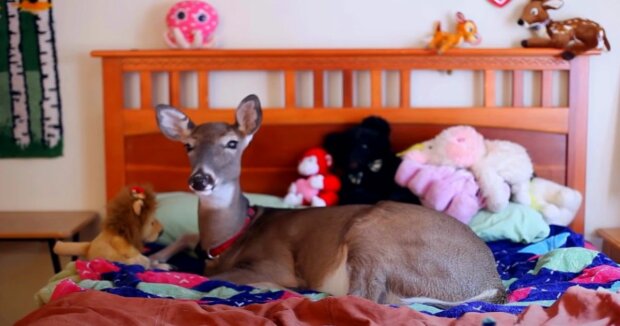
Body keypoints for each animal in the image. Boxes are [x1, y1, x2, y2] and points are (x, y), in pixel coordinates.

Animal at [154, 95, 504, 306]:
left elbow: (210, 277)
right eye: (188, 145)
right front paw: (158, 260)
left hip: (374, 232)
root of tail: (492, 282)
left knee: (365, 297)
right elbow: (187, 241)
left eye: (232, 143)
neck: (229, 239)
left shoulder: (277, 263)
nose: (201, 180)